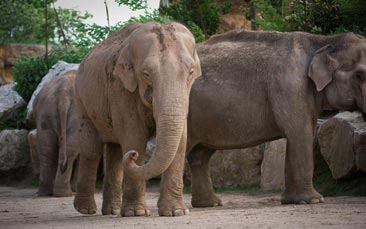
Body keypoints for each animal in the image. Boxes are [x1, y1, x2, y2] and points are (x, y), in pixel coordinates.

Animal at [73, 22, 202, 217]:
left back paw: (112, 210)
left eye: (191, 72)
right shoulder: (121, 88)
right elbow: (134, 136)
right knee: (92, 149)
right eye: (146, 74)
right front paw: (136, 213)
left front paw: (176, 212)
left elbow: (181, 141)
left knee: (115, 152)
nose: (132, 155)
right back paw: (86, 210)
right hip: (82, 100)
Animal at [184, 30, 366, 208]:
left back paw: (211, 204)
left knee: (200, 155)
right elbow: (300, 133)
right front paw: (313, 200)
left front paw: (292, 201)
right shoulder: (291, 87)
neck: (323, 41)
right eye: (360, 75)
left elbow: (299, 136)